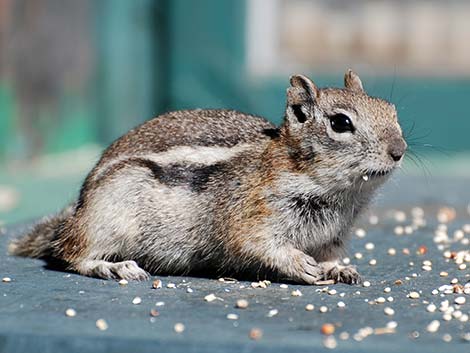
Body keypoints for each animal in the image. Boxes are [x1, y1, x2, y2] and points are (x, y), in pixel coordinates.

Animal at [10, 70, 408, 284]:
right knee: (71, 254)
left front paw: (339, 269)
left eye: (391, 110)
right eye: (341, 123)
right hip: (108, 217)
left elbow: (330, 256)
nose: (400, 149)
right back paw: (116, 267)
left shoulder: (332, 236)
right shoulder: (250, 216)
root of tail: (76, 213)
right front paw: (299, 265)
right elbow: (256, 245)